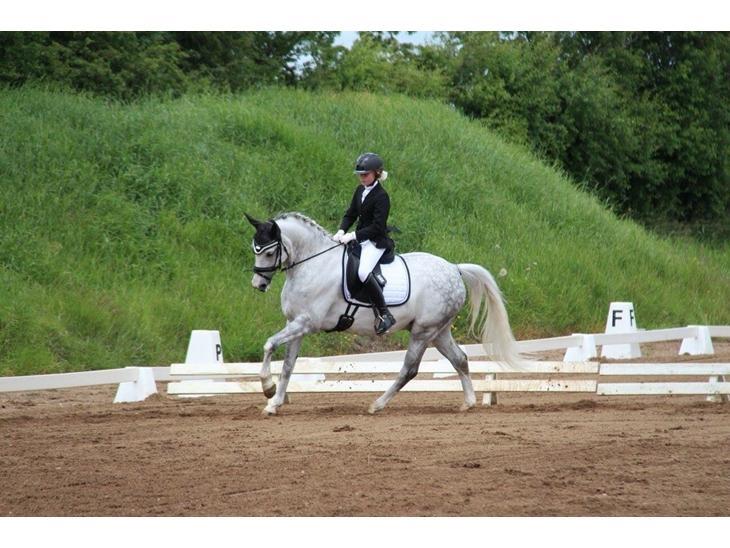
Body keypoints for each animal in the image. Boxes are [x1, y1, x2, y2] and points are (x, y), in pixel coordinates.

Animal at [247, 212, 520, 414]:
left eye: (269, 252)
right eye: (254, 249)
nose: (258, 285)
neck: (313, 264)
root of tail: (454, 268)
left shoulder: (305, 323)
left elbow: (269, 344)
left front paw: (267, 387)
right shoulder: (295, 324)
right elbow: (288, 365)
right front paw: (274, 404)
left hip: (423, 331)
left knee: (410, 369)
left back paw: (377, 405)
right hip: (439, 331)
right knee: (460, 359)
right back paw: (468, 403)